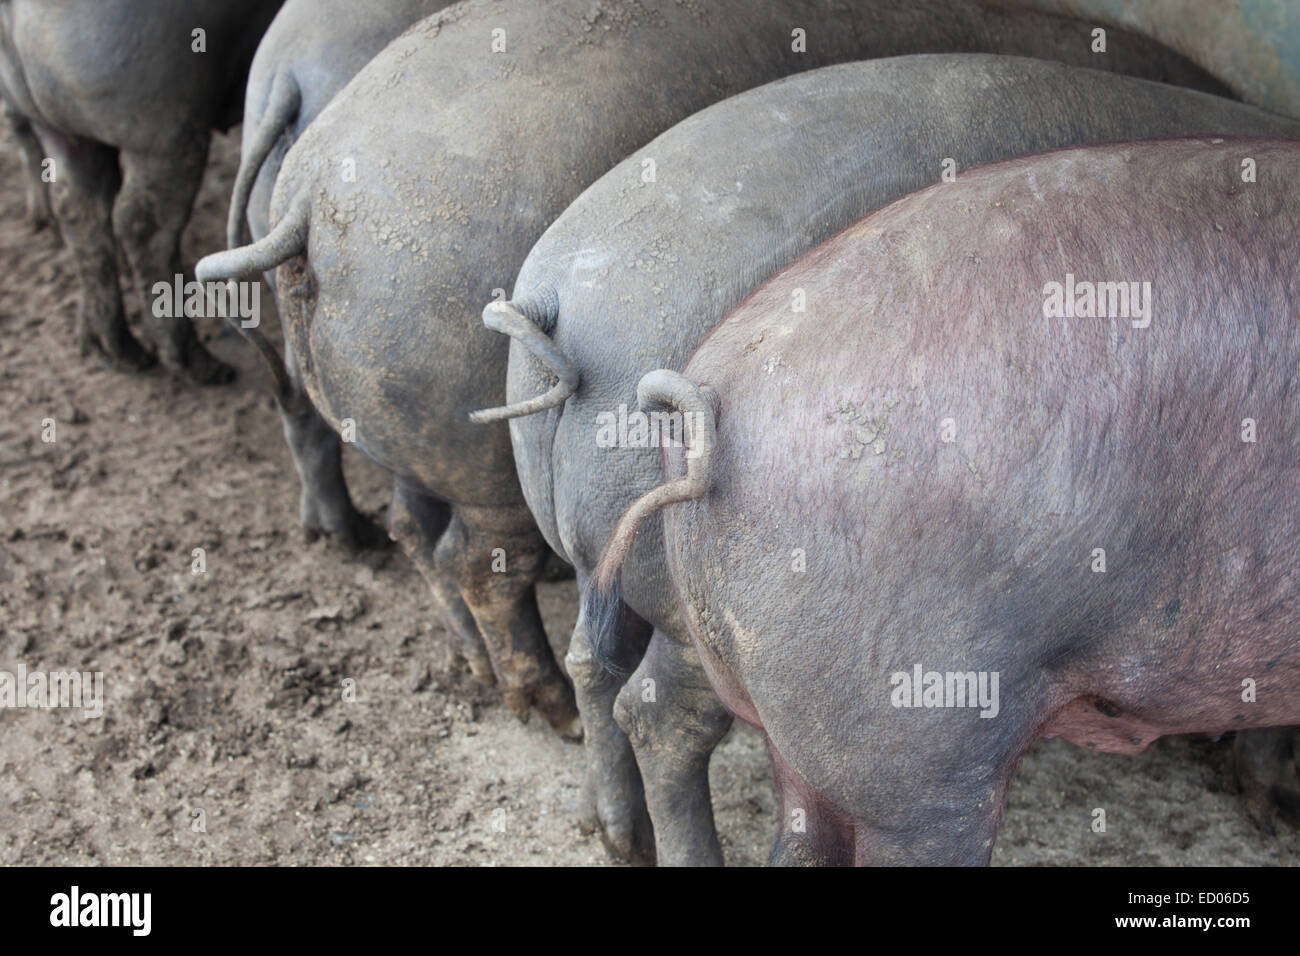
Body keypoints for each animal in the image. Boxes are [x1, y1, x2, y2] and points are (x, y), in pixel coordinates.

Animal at [0, 0, 282, 382]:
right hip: (163, 129)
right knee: (141, 225)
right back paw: (202, 367)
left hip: (56, 128)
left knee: (79, 210)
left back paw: (117, 351)